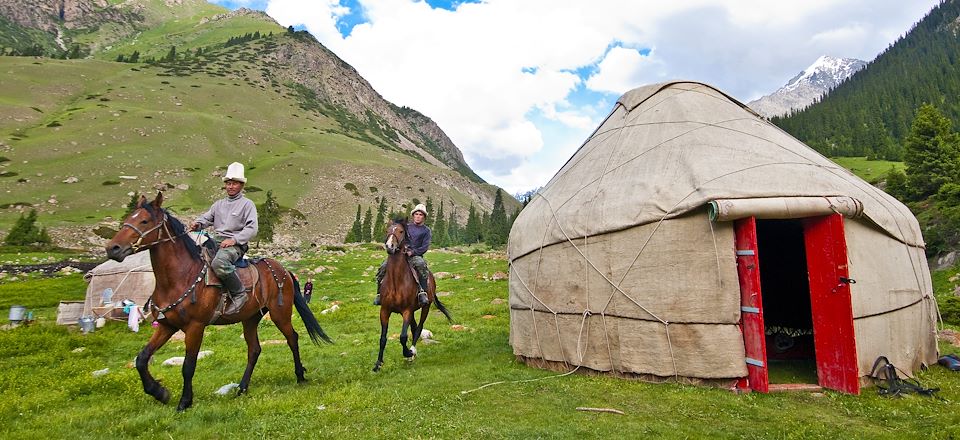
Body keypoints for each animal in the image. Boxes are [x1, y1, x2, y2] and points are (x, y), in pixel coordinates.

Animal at [106, 192, 334, 412]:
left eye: (144, 221)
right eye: (128, 218)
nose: (112, 248)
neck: (179, 278)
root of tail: (284, 271)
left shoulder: (195, 327)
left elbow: (188, 366)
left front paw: (184, 402)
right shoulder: (166, 325)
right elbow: (142, 358)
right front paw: (159, 392)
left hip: (280, 313)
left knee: (292, 338)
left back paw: (299, 375)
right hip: (250, 318)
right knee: (254, 349)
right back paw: (242, 388)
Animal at [374, 218, 452, 372]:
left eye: (401, 231)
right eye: (387, 230)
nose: (390, 246)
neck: (396, 281)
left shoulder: (406, 311)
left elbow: (403, 336)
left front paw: (408, 353)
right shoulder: (385, 310)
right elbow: (383, 338)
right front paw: (378, 364)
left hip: (425, 307)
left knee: (419, 327)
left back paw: (413, 351)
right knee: (414, 327)